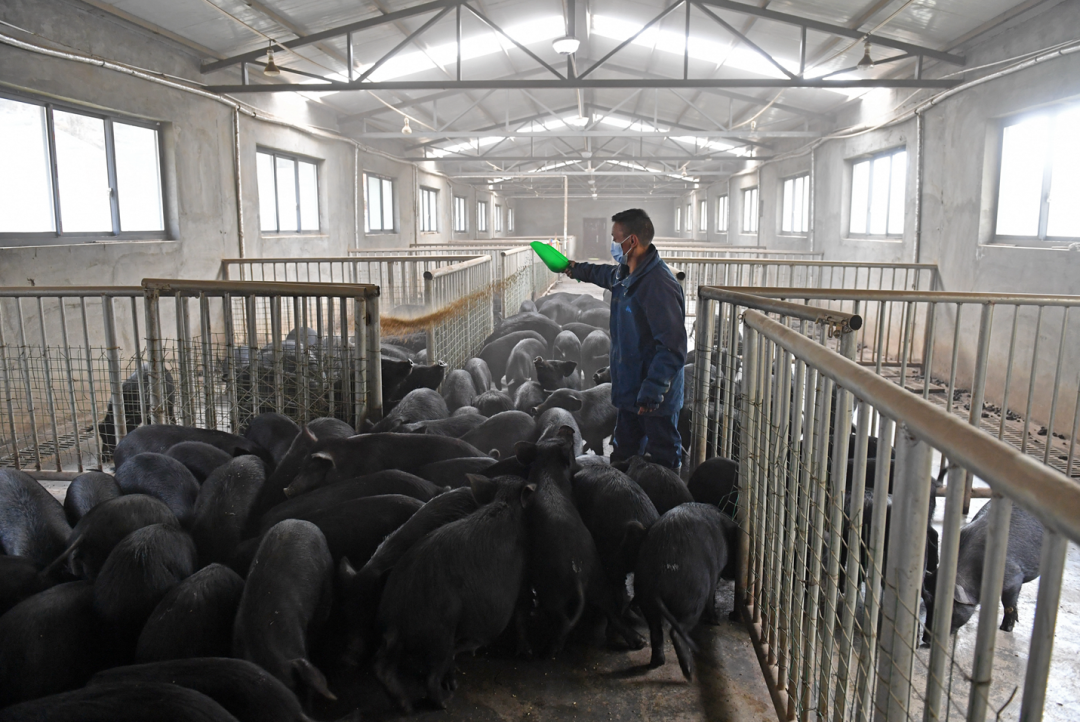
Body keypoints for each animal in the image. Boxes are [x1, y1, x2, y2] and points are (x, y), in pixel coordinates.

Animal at [374, 475, 533, 711]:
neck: (504, 500)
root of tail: (397, 619)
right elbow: (522, 608)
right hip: (442, 630)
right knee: (433, 675)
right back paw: (445, 700)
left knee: (383, 666)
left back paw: (407, 705)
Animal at [631, 503, 739, 680]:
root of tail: (657, 581)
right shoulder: (714, 575)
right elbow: (712, 597)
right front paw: (715, 621)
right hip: (692, 598)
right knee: (677, 631)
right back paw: (689, 673)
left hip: (645, 601)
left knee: (655, 632)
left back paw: (655, 664)